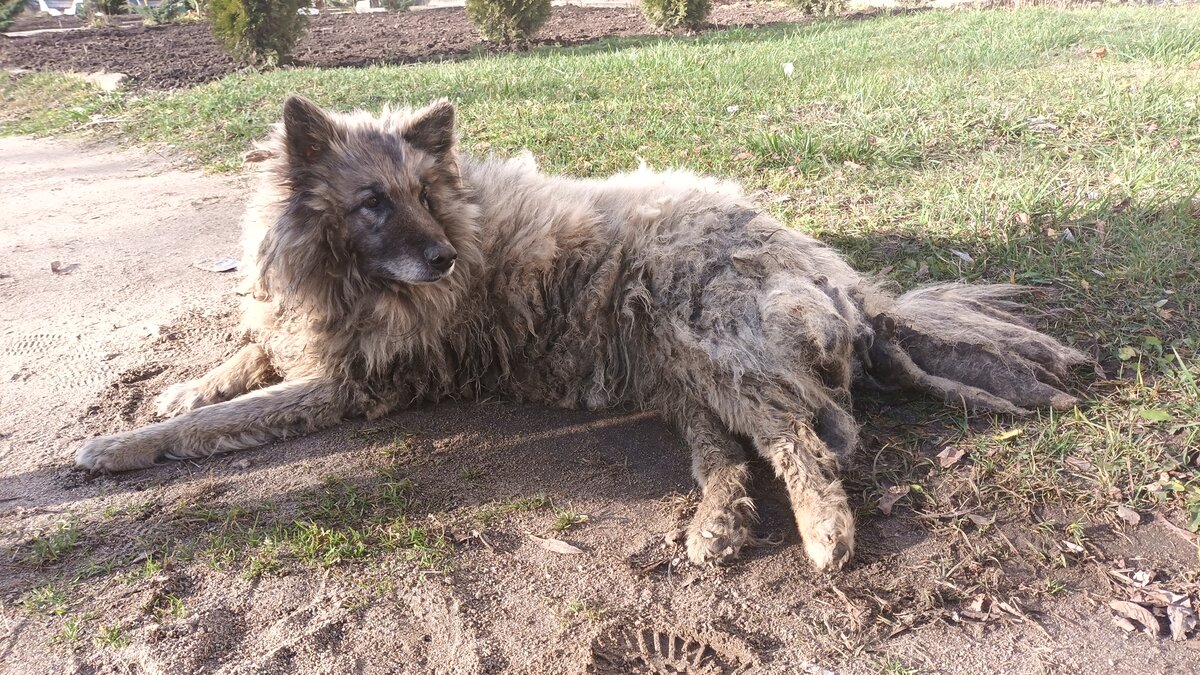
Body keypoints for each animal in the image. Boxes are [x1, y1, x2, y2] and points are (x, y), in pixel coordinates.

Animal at [75, 94, 1089, 566]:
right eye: (372, 202)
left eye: (425, 194)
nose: (442, 260)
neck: (339, 274)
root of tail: (846, 282)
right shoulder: (301, 341)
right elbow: (230, 367)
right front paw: (163, 396)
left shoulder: (350, 383)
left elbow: (219, 420)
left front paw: (119, 445)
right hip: (679, 366)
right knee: (738, 452)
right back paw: (718, 526)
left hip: (705, 337)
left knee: (806, 443)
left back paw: (823, 535)